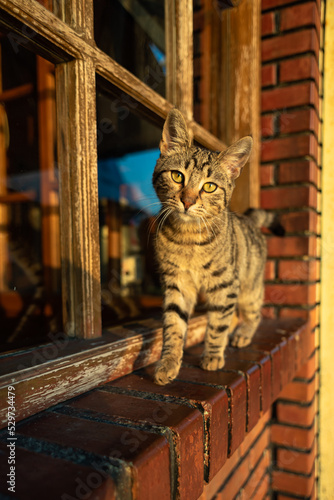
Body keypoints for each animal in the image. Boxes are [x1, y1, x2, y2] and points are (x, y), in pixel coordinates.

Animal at [153, 107, 284, 384]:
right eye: (177, 176)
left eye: (209, 186)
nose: (188, 201)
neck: (188, 237)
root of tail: (250, 218)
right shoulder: (176, 283)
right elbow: (173, 324)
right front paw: (169, 362)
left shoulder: (225, 285)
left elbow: (218, 324)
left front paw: (212, 355)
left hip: (249, 288)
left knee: (255, 313)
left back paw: (243, 333)